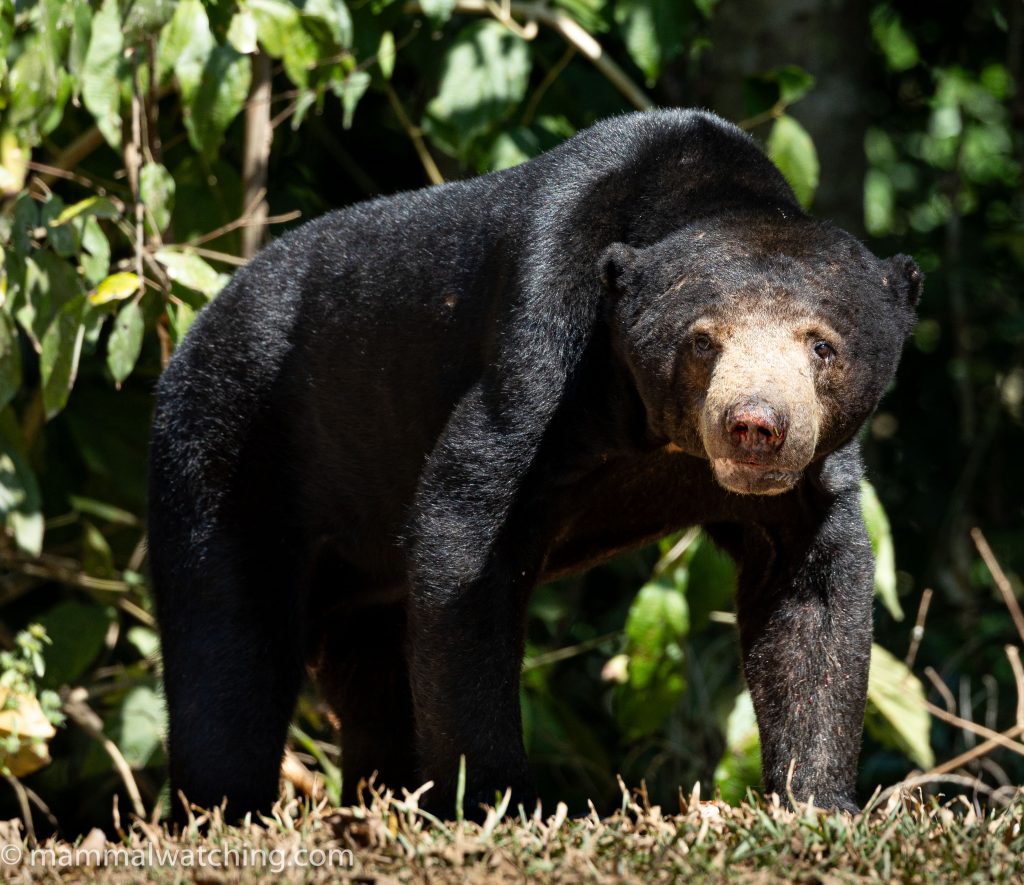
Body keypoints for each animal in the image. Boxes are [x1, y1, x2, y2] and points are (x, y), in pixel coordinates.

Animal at [147, 108, 921, 823]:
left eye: (821, 345)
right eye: (703, 341)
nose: (756, 425)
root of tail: (196, 325)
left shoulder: (808, 482)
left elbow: (813, 589)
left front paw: (818, 802)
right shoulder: (539, 341)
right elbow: (465, 537)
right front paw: (494, 799)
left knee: (367, 674)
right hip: (228, 451)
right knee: (229, 656)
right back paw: (226, 807)